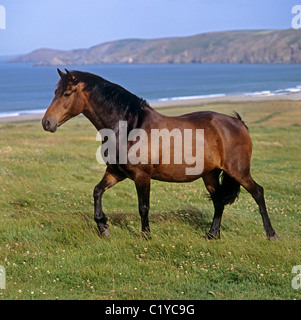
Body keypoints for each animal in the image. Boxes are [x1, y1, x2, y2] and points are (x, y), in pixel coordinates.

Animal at [41, 69, 278, 240]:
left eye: (67, 94)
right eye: (55, 93)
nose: (47, 123)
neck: (129, 127)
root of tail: (237, 122)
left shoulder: (142, 176)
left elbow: (143, 207)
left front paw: (146, 235)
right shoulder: (116, 173)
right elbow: (97, 192)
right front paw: (103, 226)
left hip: (238, 171)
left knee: (258, 192)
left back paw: (271, 234)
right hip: (210, 174)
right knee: (218, 201)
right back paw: (212, 235)